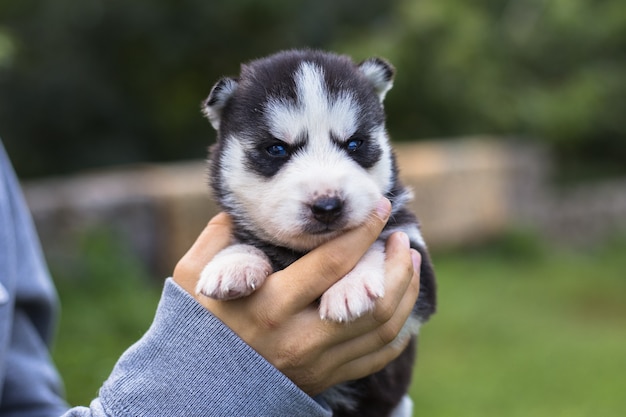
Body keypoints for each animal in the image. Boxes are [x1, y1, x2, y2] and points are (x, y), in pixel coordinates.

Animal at [195, 49, 434, 416]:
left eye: (354, 143)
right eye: (277, 149)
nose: (328, 205)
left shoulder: (417, 281)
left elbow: (377, 240)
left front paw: (352, 284)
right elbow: (249, 240)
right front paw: (233, 263)